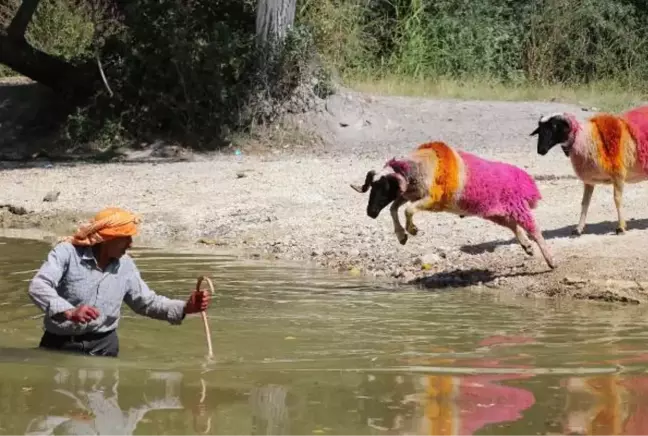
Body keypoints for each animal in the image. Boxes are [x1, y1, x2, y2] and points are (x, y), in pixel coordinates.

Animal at [350, 141, 556, 270]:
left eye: (385, 187)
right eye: (372, 187)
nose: (371, 212)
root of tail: (525, 179)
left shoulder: (430, 198)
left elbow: (407, 210)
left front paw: (412, 230)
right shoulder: (410, 194)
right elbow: (394, 209)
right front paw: (402, 236)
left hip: (517, 206)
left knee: (535, 230)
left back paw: (550, 260)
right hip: (493, 211)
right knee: (513, 225)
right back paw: (527, 246)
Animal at [528, 104, 648, 235]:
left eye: (554, 126)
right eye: (540, 129)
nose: (541, 150)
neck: (587, 140)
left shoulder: (618, 175)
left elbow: (617, 199)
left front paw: (621, 227)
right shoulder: (589, 181)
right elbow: (585, 203)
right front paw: (578, 229)